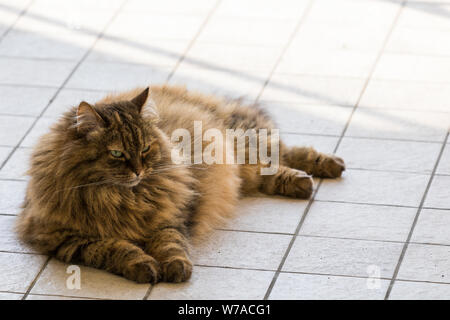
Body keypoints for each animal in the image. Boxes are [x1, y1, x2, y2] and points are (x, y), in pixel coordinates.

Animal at [14, 85, 344, 282]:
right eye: (117, 154)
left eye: (146, 148)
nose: (139, 170)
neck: (121, 199)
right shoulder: (66, 239)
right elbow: (116, 249)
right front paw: (144, 267)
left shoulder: (169, 218)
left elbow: (170, 244)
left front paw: (174, 268)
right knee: (268, 167)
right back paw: (304, 181)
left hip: (242, 146)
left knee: (280, 153)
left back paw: (323, 168)